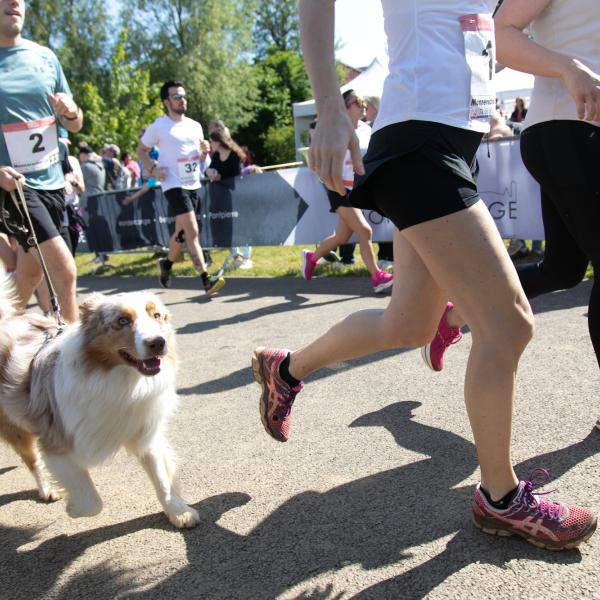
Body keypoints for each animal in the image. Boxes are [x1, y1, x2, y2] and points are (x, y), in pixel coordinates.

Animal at [0, 284, 202, 528]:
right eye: (122, 321)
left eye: (156, 315)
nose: (158, 342)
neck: (123, 383)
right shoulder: (56, 440)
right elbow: (92, 502)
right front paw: (73, 508)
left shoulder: (144, 432)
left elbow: (162, 479)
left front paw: (178, 512)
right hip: (15, 426)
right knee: (33, 461)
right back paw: (47, 489)